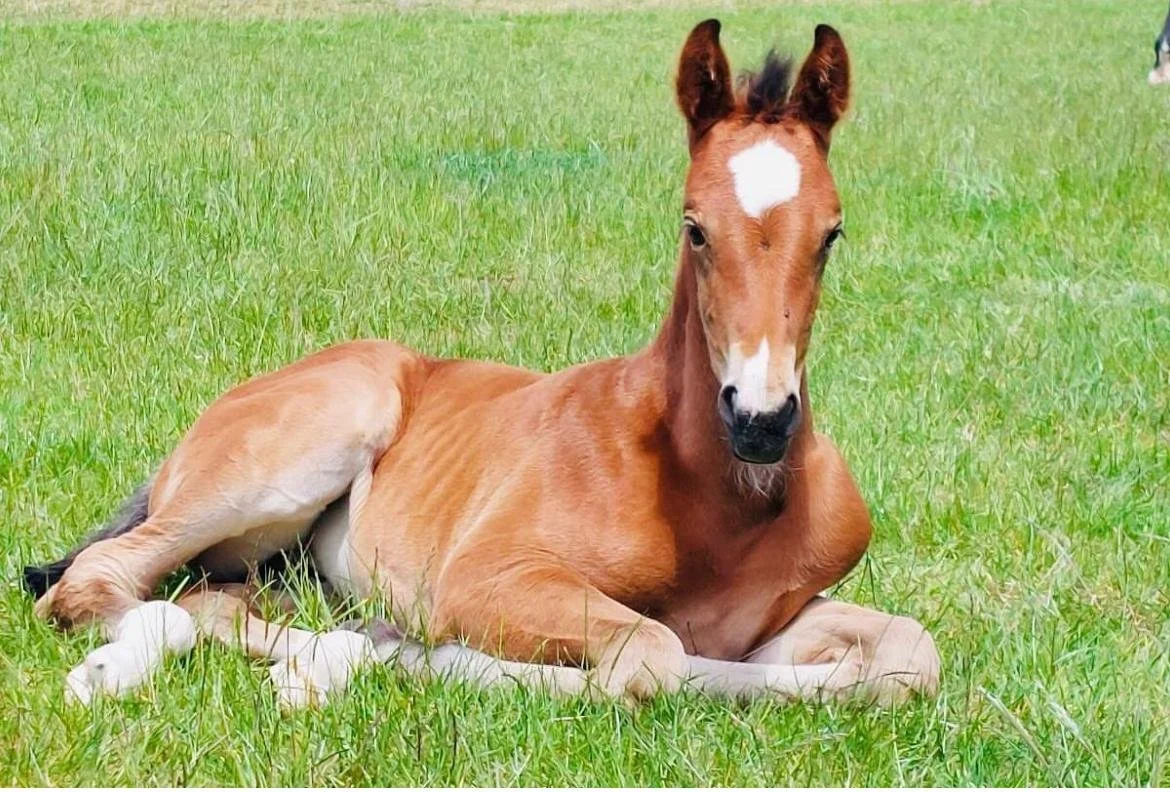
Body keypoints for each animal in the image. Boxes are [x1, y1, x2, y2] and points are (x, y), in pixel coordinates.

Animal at [24, 19, 940, 709]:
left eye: (832, 232)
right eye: (695, 227)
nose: (760, 420)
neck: (715, 501)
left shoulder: (776, 616)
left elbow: (907, 655)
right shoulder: (487, 576)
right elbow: (652, 657)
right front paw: (366, 654)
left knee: (209, 598)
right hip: (296, 453)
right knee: (98, 584)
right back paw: (131, 669)